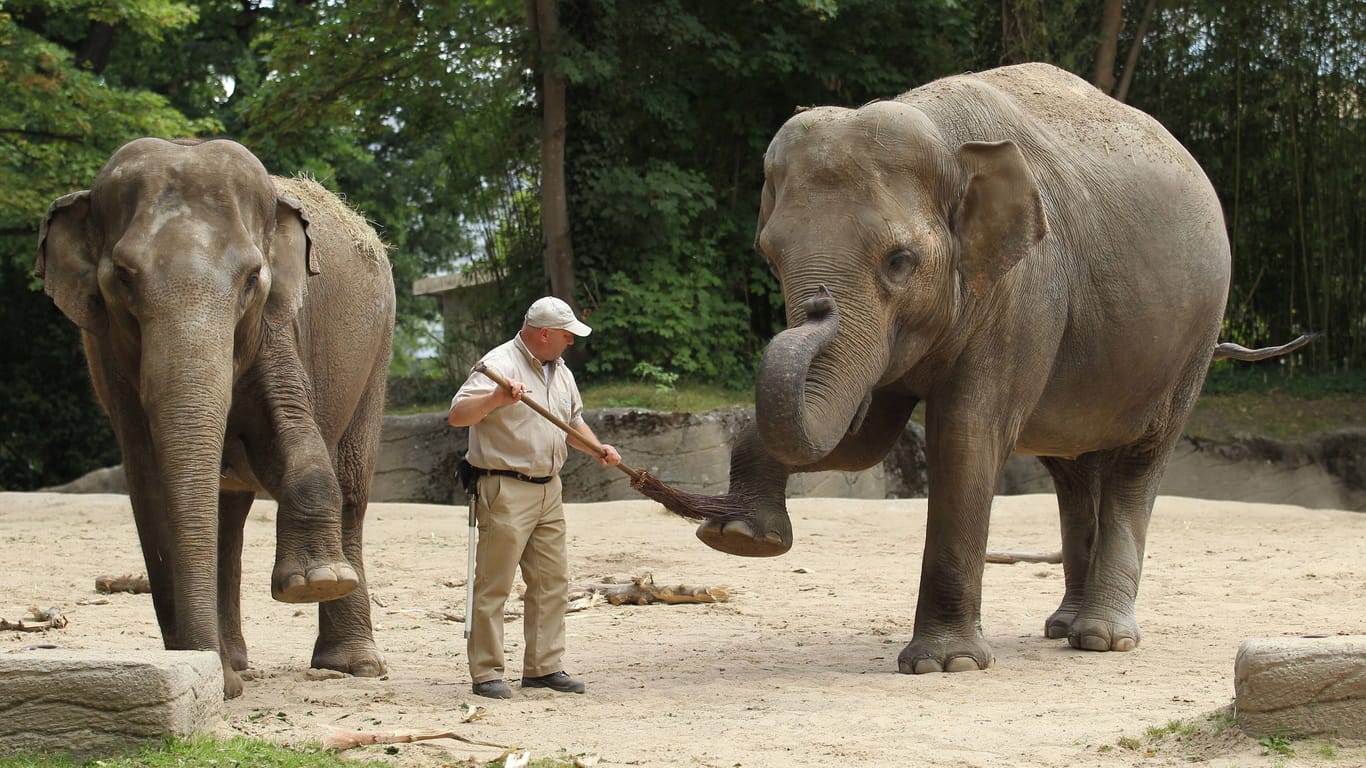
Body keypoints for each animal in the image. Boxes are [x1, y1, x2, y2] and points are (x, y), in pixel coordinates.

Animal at [36, 135, 396, 694]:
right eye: (122, 278)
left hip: (377, 353)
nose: (219, 684)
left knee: (353, 486)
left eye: (253, 278)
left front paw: (312, 582)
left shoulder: (278, 322)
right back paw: (238, 661)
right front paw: (212, 677)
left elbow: (293, 433)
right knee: (226, 517)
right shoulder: (108, 353)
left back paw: (352, 664)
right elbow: (151, 485)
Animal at [688, 64, 1316, 669]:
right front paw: (739, 537)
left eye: (900, 261)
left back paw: (1103, 640)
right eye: (771, 258)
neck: (946, 138)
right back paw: (1063, 627)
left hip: (1194, 339)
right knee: (1073, 472)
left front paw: (946, 665)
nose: (819, 307)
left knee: (1140, 463)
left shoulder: (1025, 291)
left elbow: (966, 435)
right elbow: (863, 438)